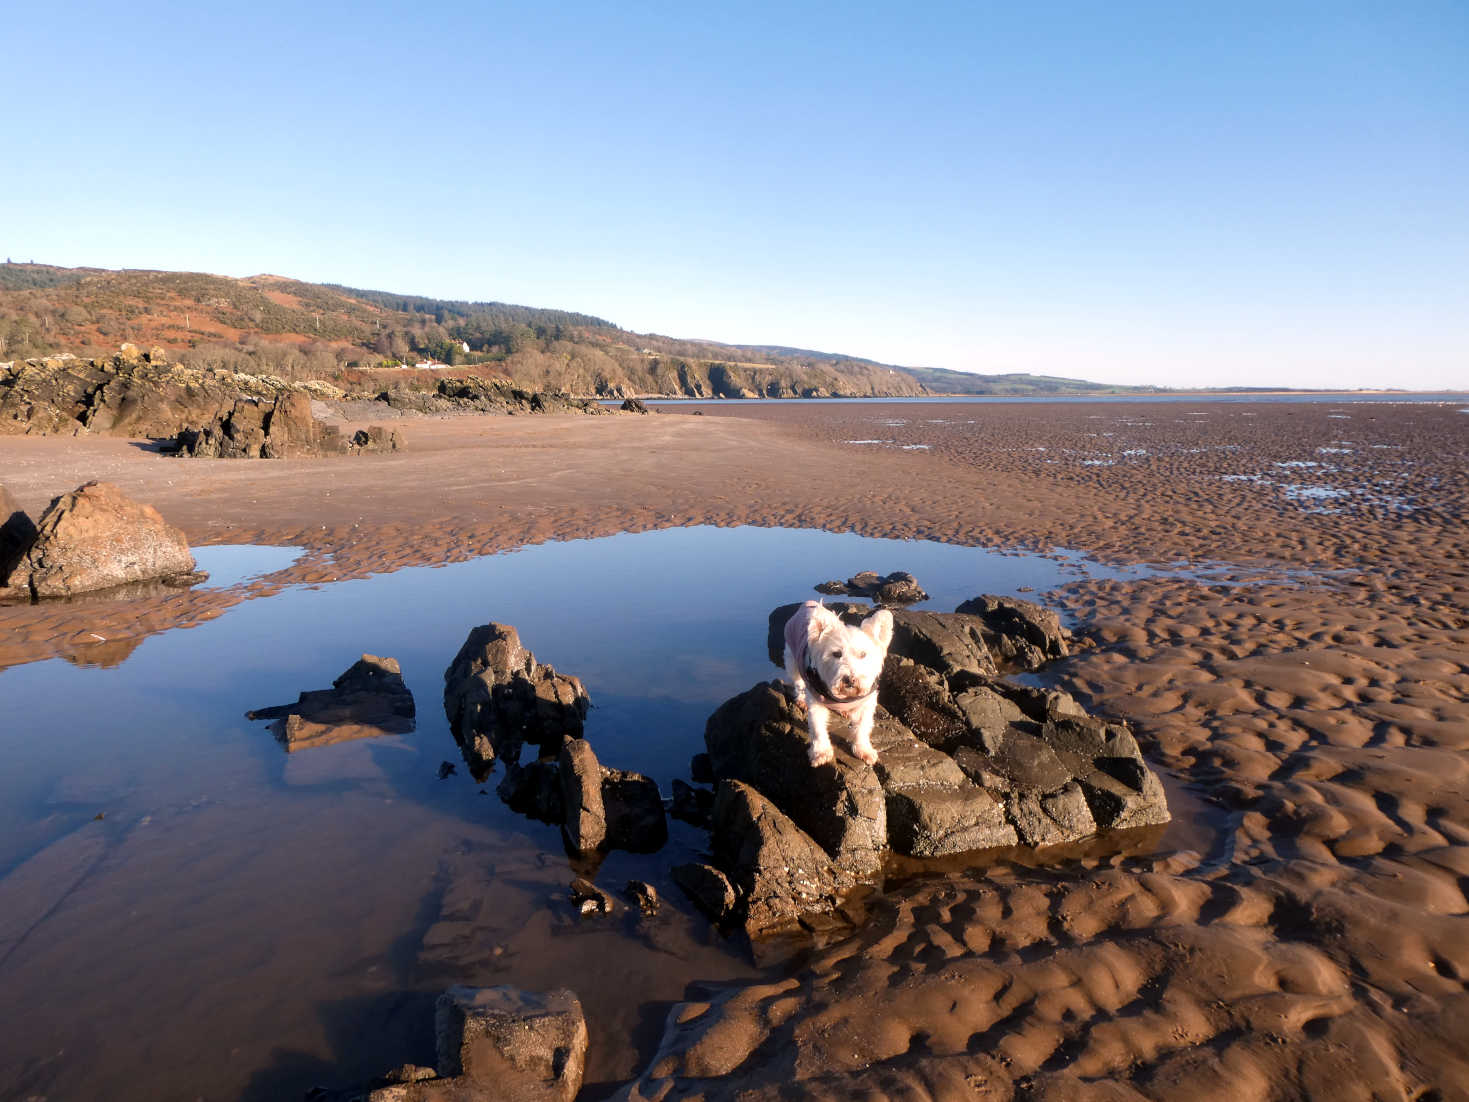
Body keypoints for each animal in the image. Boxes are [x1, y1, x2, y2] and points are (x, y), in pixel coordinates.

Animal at [781, 605, 893, 769]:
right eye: (836, 654)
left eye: (863, 654)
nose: (850, 679)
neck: (845, 697)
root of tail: (807, 604)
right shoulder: (816, 702)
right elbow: (817, 727)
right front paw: (821, 753)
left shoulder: (866, 704)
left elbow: (862, 726)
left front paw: (863, 749)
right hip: (792, 660)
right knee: (798, 683)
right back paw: (801, 699)